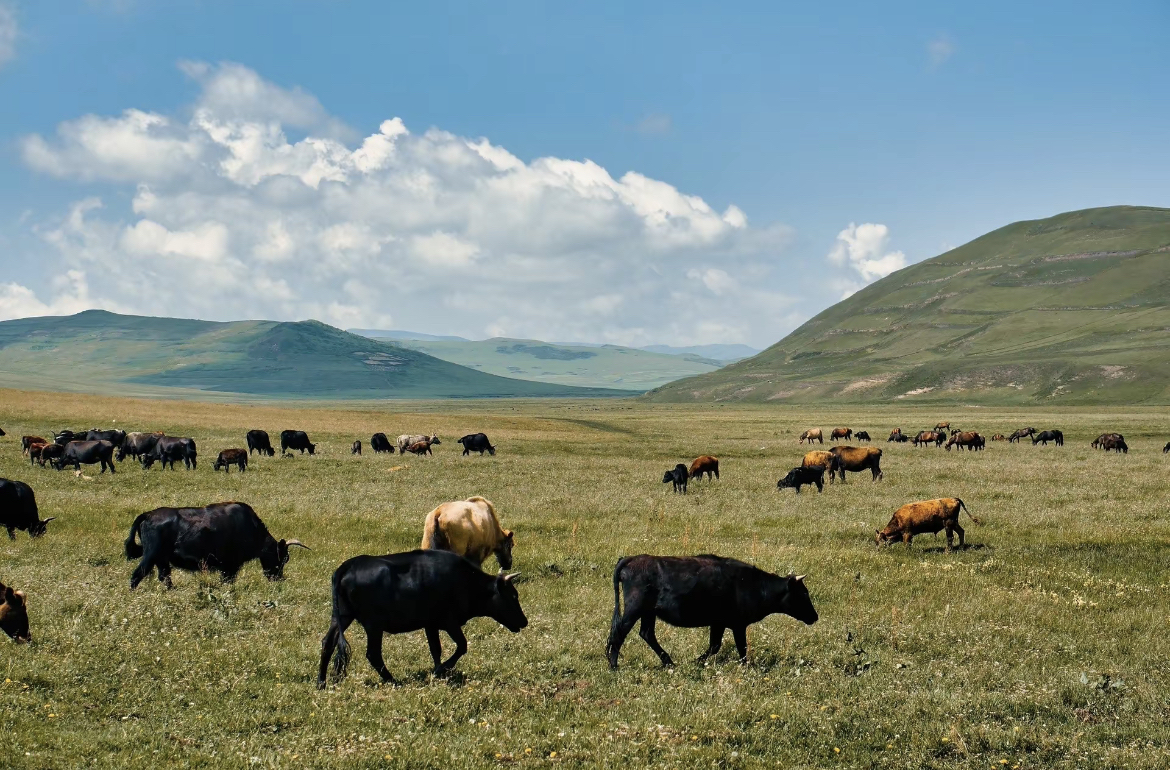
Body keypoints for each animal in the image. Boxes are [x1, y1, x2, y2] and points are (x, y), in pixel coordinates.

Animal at [124, 498, 308, 587]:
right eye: (282, 558)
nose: (278, 579)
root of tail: (147, 514)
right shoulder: (229, 566)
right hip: (150, 557)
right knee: (136, 576)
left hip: (162, 560)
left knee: (165, 577)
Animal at [315, 547, 526, 688]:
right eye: (513, 596)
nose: (525, 621)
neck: (465, 580)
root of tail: (349, 565)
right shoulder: (449, 622)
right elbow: (462, 645)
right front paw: (443, 669)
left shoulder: (430, 624)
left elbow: (436, 649)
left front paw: (439, 671)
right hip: (373, 625)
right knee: (373, 654)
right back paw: (393, 680)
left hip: (342, 617)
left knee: (328, 643)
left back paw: (321, 682)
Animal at [608, 554, 819, 669]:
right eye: (803, 593)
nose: (815, 617)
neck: (754, 584)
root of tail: (632, 559)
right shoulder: (738, 625)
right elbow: (741, 648)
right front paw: (746, 667)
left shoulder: (718, 623)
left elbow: (715, 646)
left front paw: (696, 662)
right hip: (634, 610)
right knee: (619, 633)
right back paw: (613, 665)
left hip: (648, 613)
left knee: (647, 634)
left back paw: (669, 662)